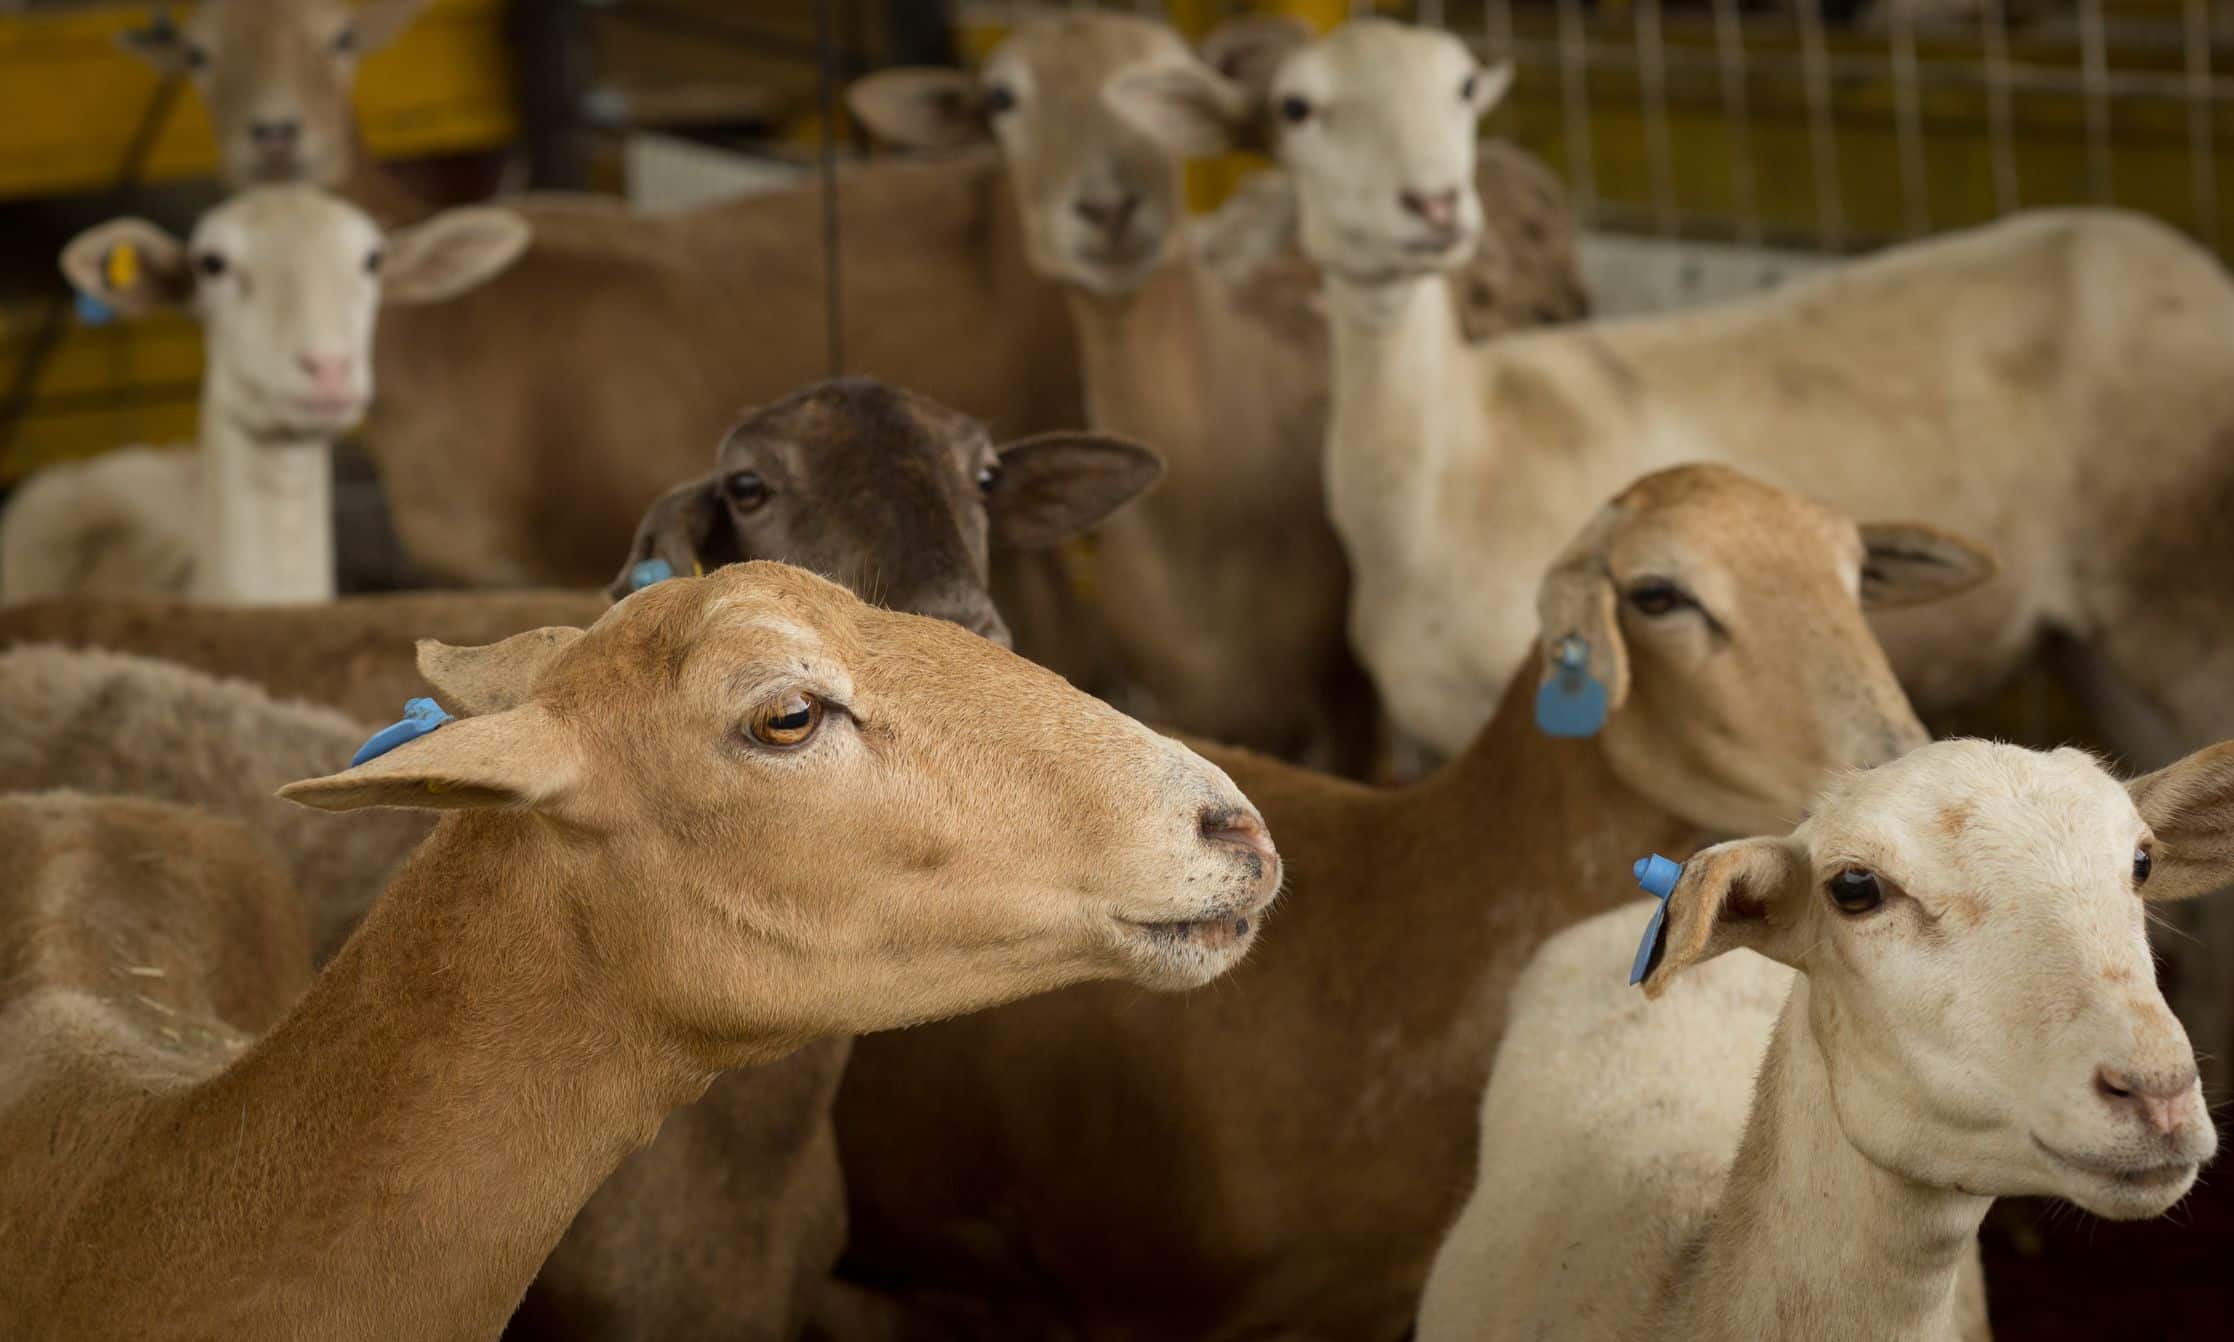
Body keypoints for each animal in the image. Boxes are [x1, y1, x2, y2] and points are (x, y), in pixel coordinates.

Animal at [1121, 16, 2234, 779]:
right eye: (1297, 111)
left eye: (1462, 90)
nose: (1434, 205)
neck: (1451, 459)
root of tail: (2189, 267)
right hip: (2098, 645)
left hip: (2185, 607)